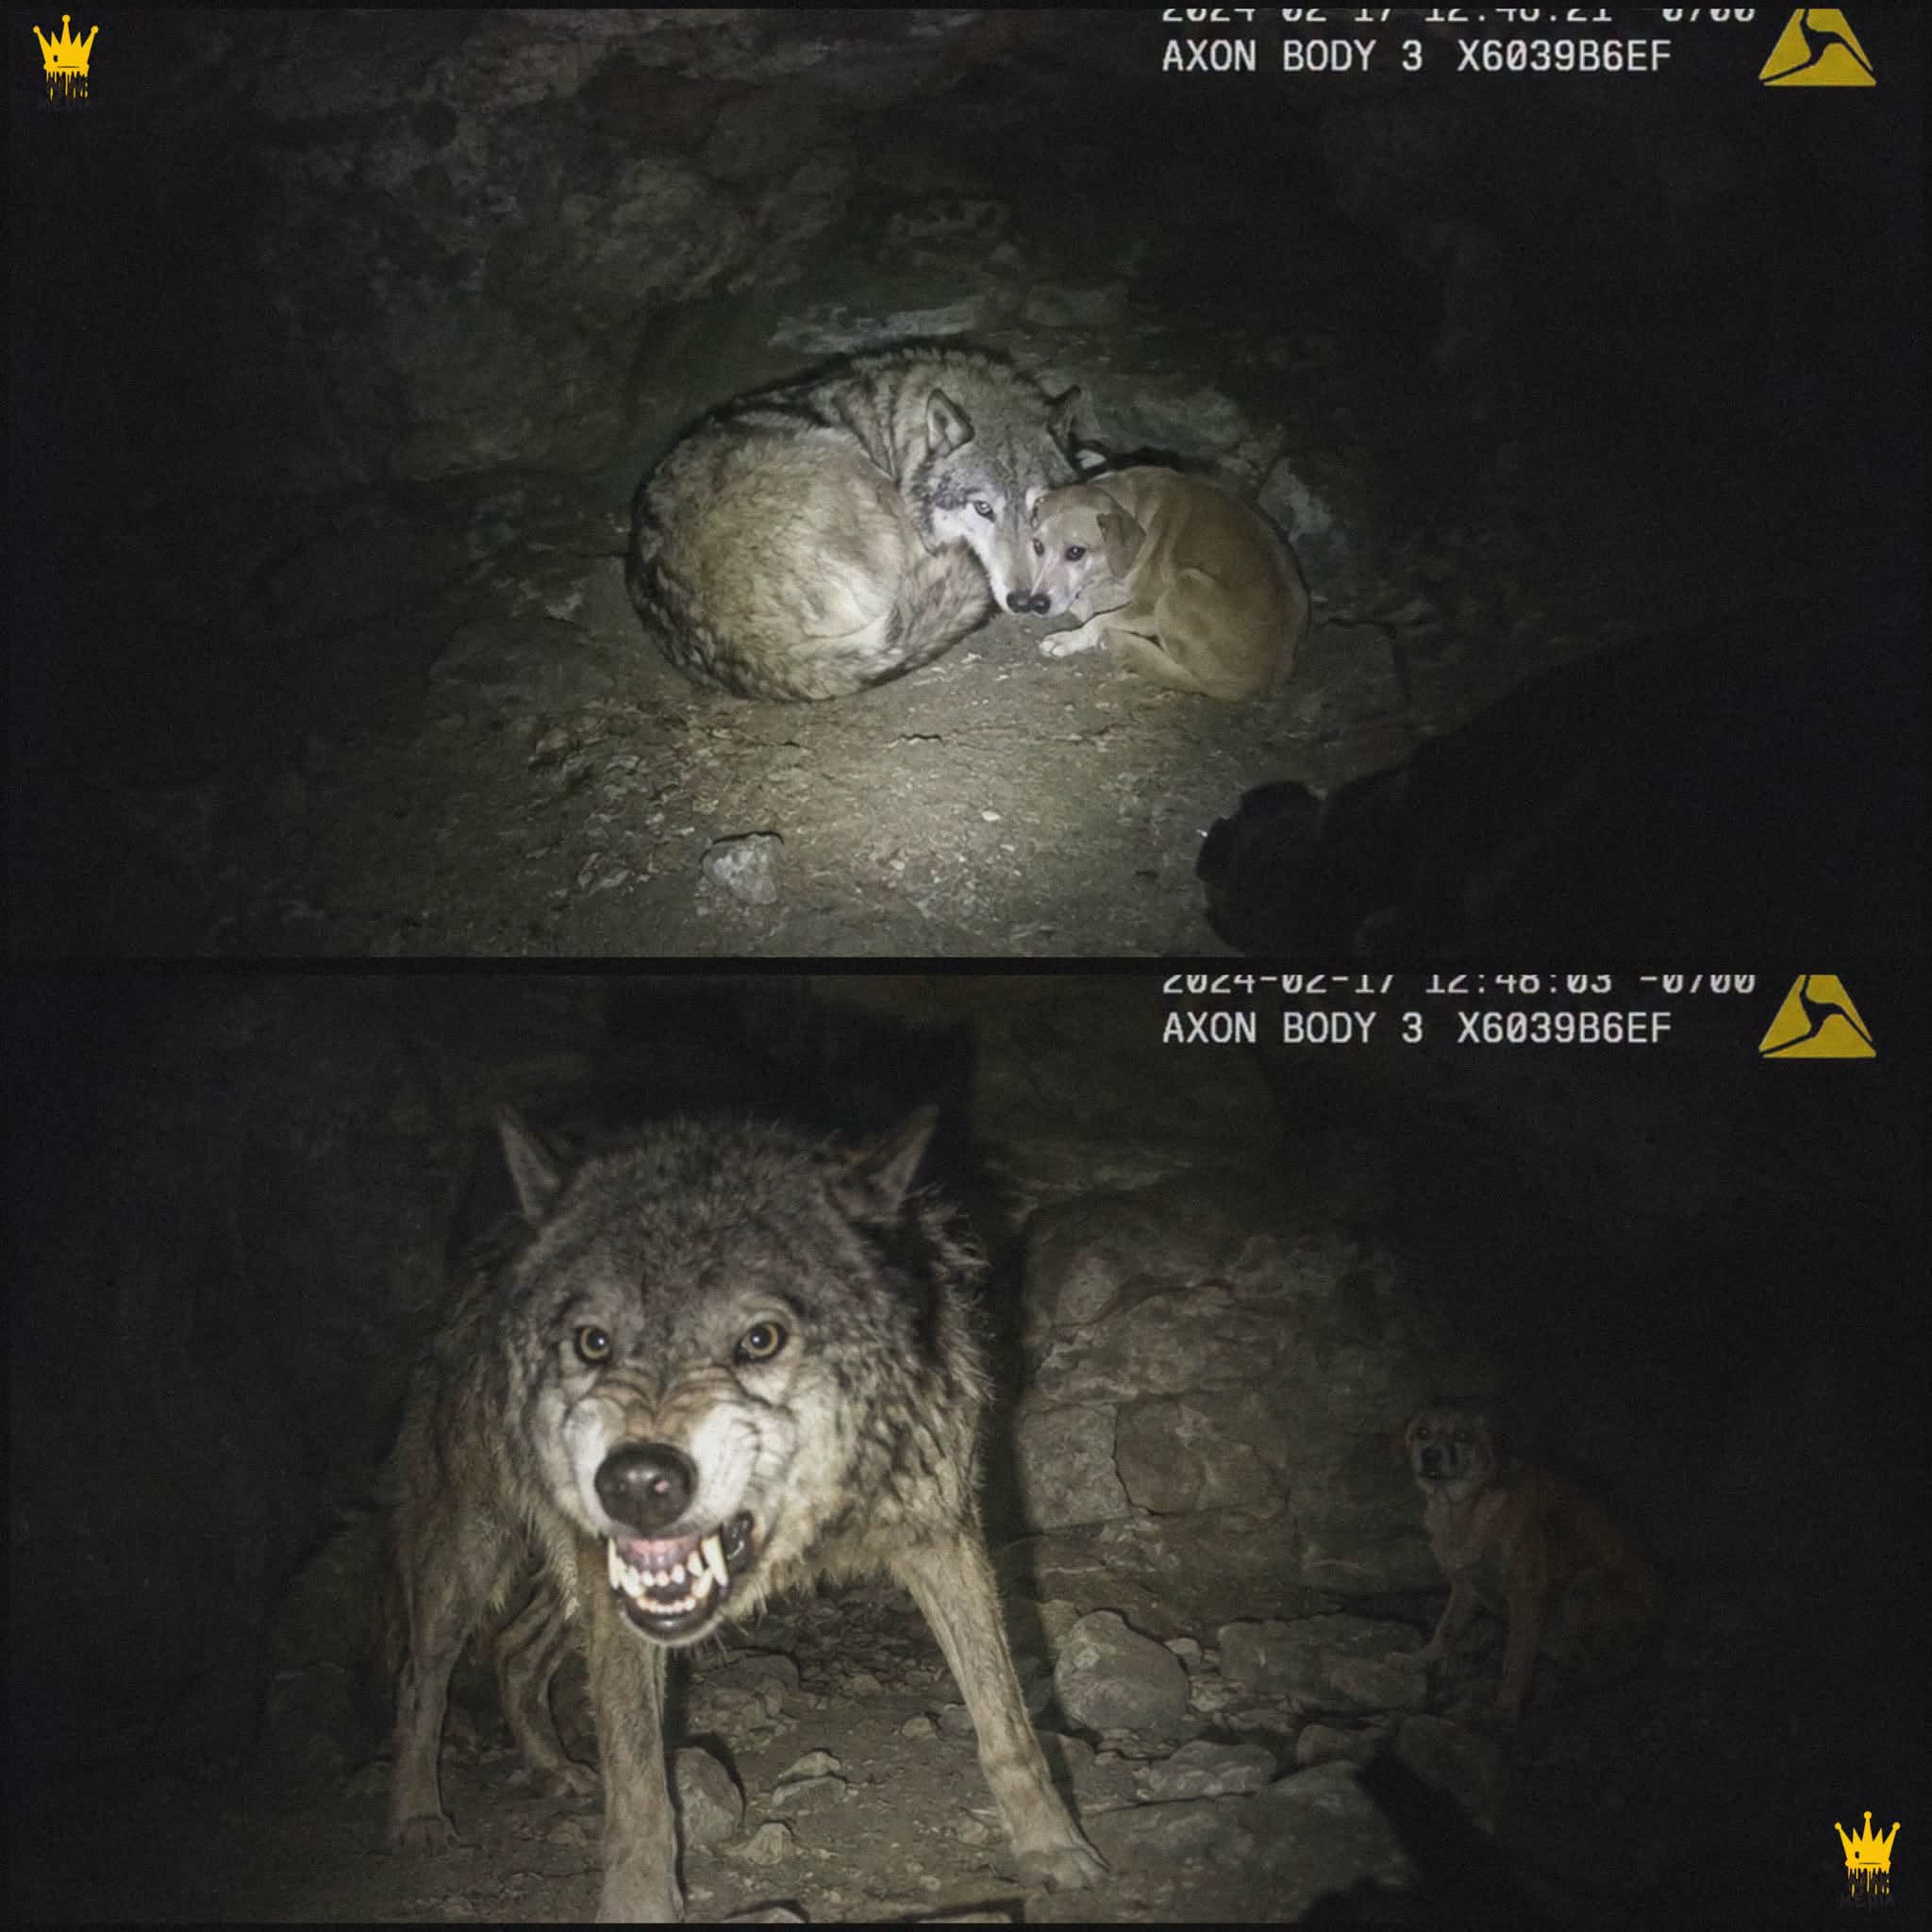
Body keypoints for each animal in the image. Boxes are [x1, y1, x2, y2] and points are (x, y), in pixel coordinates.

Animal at [385, 1104, 1104, 1920]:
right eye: (592, 1342)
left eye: (761, 1338)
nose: (635, 1483)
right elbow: (640, 1787)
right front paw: (639, 1905)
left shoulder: (942, 1536)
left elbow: (1006, 1721)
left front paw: (1053, 1848)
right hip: (467, 1563)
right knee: (422, 1681)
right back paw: (417, 1815)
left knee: (511, 1653)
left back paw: (553, 1769)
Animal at [626, 344, 1080, 701]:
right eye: (983, 508)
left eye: (1038, 507)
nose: (1025, 601)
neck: (897, 426)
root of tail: (746, 643)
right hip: (847, 460)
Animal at [1394, 1402, 1659, 1722]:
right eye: (1422, 1432)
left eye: (1463, 1436)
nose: (1430, 1454)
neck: (1464, 1509)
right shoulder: (1465, 1587)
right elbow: (1445, 1630)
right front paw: (1419, 1661)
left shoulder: (1525, 1594)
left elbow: (1516, 1657)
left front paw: (1507, 1706)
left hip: (1583, 1588)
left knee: (1602, 1663)